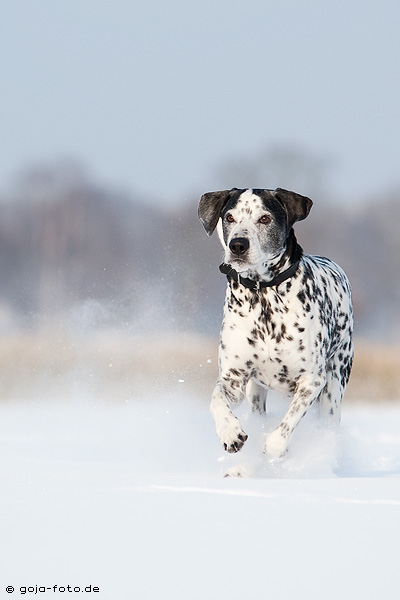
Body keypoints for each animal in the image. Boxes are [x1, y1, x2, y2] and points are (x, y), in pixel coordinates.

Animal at [198, 188, 354, 464]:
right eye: (229, 217)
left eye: (264, 218)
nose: (238, 245)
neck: (263, 297)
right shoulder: (233, 379)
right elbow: (216, 399)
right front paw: (230, 432)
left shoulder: (312, 380)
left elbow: (287, 424)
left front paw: (273, 448)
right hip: (255, 391)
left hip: (335, 385)